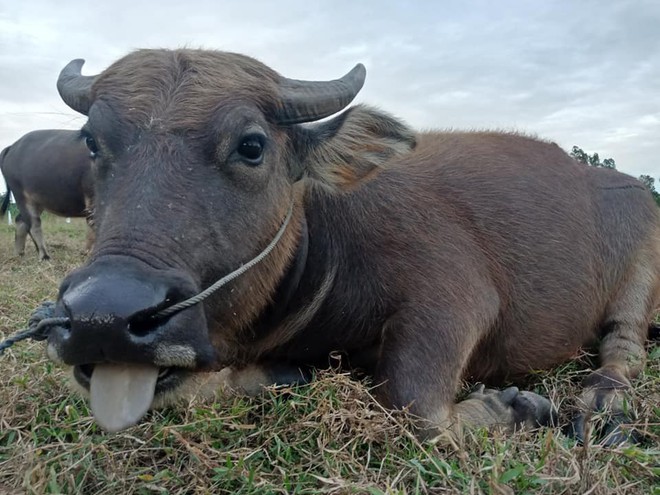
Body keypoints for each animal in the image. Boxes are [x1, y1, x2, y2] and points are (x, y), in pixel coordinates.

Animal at [0, 129, 94, 260]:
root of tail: (12, 147)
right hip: (21, 196)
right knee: (33, 224)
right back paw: (44, 256)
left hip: (36, 202)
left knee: (20, 221)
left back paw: (19, 254)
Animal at [46, 48, 660, 440]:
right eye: (92, 142)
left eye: (252, 145)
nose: (103, 318)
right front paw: (281, 374)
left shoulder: (455, 300)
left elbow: (418, 413)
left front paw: (519, 407)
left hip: (641, 272)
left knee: (624, 345)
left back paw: (602, 400)